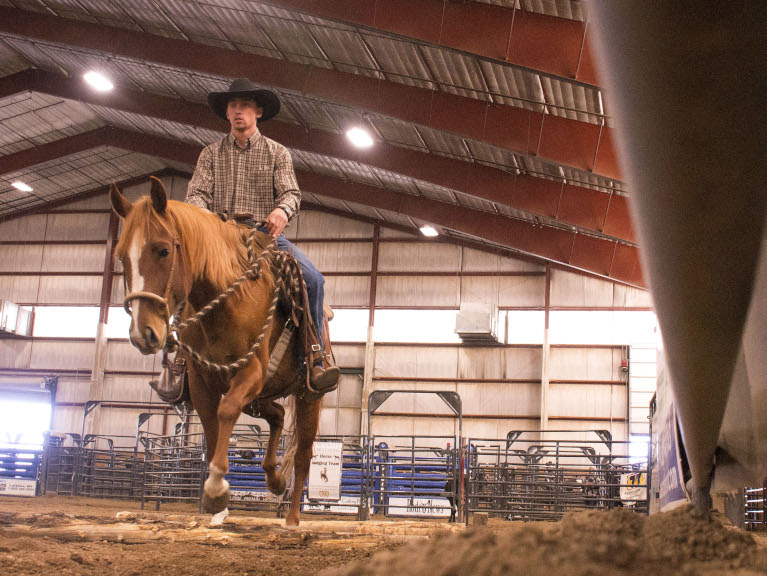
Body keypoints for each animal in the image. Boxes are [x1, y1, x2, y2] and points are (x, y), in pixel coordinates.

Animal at [110, 177, 320, 528]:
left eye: (163, 250)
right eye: (121, 257)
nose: (143, 333)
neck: (229, 298)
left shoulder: (252, 371)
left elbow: (226, 411)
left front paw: (218, 486)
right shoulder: (201, 381)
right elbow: (210, 427)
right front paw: (217, 506)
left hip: (308, 397)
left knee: (303, 455)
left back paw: (291, 518)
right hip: (261, 397)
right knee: (277, 416)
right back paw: (273, 479)